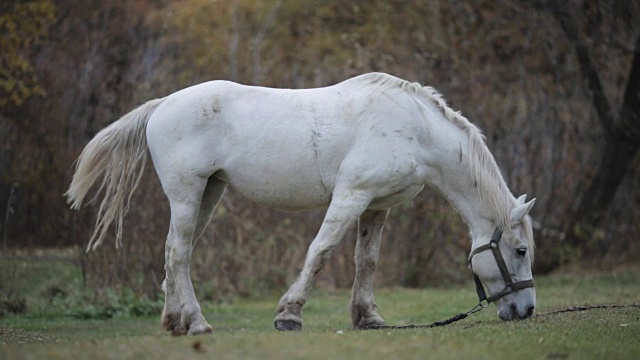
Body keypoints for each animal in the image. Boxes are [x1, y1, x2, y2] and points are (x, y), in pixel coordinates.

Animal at [66, 72, 536, 334]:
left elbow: (366, 261)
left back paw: (174, 322)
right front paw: (289, 315)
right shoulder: (351, 196)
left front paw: (367, 317)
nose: (527, 309)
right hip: (186, 193)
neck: (414, 129)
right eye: (520, 250)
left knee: (172, 256)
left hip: (208, 195)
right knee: (179, 254)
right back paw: (197, 323)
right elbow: (320, 252)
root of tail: (164, 103)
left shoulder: (377, 206)